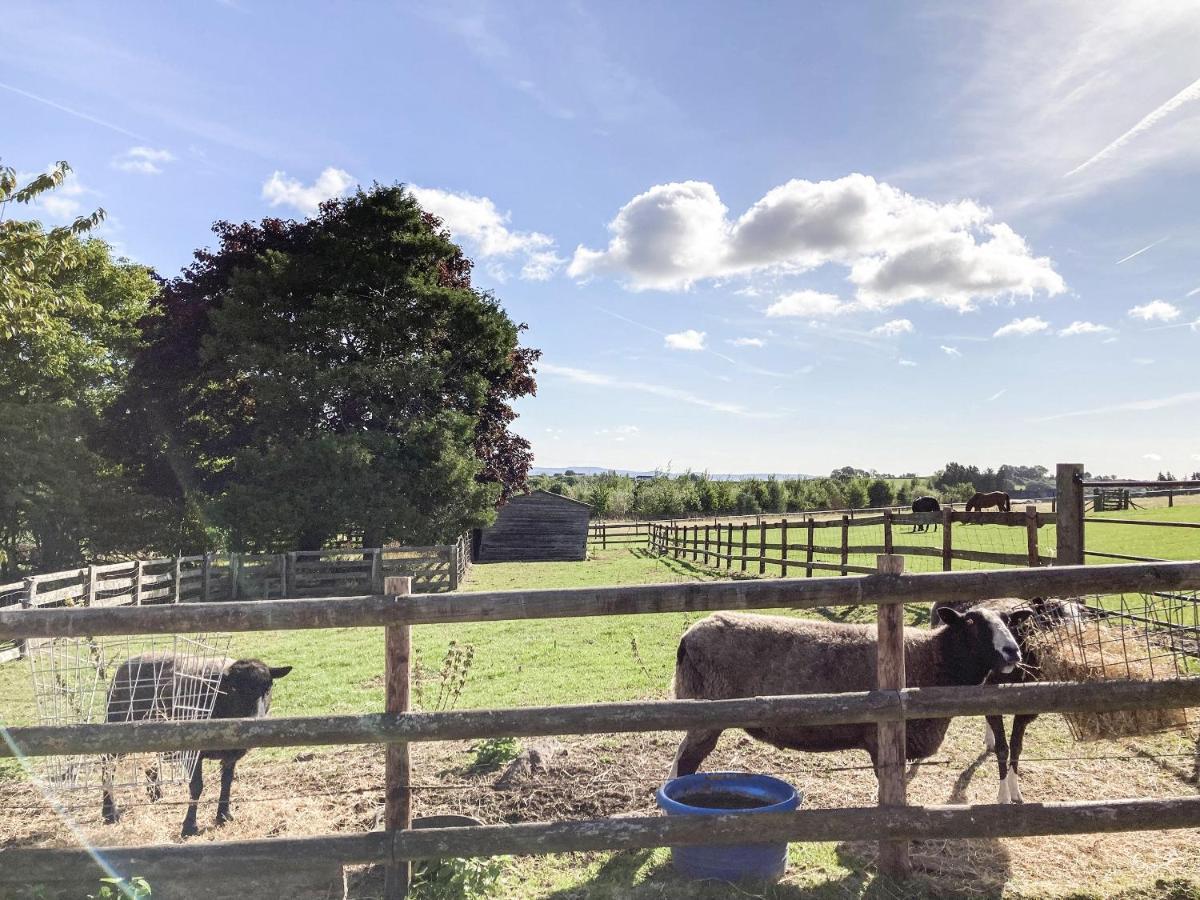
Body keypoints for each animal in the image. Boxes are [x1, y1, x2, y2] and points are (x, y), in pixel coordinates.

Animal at [101, 657, 292, 840]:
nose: (255, 720)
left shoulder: (230, 754)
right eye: (234, 688)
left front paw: (223, 815)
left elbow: (227, 782)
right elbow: (196, 787)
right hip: (117, 726)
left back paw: (156, 795)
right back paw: (109, 812)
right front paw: (189, 827)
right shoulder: (193, 752)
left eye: (268, 688)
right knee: (107, 764)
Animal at [672, 614, 1017, 782]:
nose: (1013, 651)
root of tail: (687, 637)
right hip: (707, 710)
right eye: (971, 623)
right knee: (687, 760)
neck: (930, 657)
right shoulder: (882, 740)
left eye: (1008, 621)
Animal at [926, 600, 1089, 801]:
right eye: (1053, 615)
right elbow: (1003, 749)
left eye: (1083, 614)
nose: (1079, 639)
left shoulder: (1026, 710)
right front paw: (1003, 796)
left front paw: (1016, 791)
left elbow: (1016, 747)